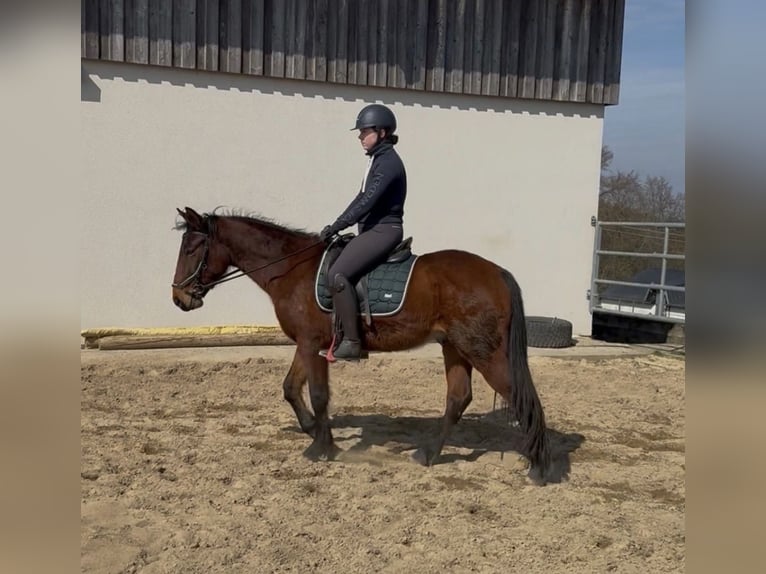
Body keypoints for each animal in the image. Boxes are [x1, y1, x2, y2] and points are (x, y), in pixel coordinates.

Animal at [171, 207, 577, 485]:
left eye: (192, 248)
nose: (179, 298)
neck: (293, 270)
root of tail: (496, 272)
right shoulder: (307, 344)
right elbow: (291, 388)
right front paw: (312, 430)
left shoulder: (312, 343)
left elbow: (316, 393)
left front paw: (319, 447)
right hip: (455, 347)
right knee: (458, 398)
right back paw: (428, 454)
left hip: (483, 351)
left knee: (522, 398)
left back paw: (540, 467)